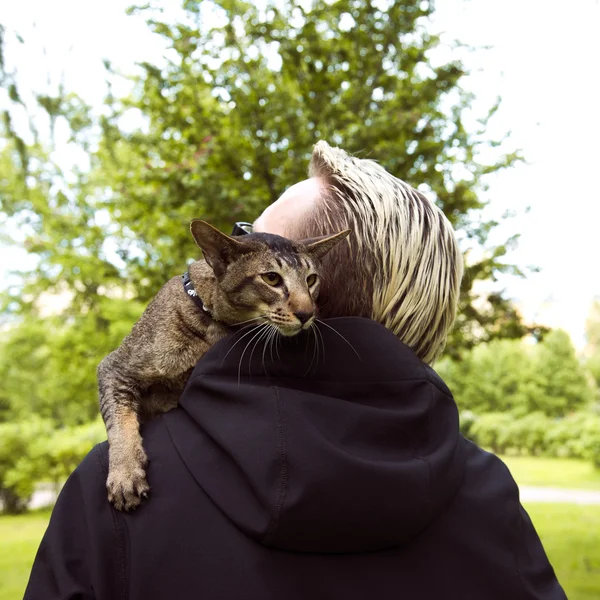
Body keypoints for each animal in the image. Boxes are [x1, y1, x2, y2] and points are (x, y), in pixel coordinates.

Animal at [96, 220, 350, 510]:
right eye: (271, 278)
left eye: (311, 280)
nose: (307, 314)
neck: (211, 324)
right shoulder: (114, 367)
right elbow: (120, 422)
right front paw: (125, 473)